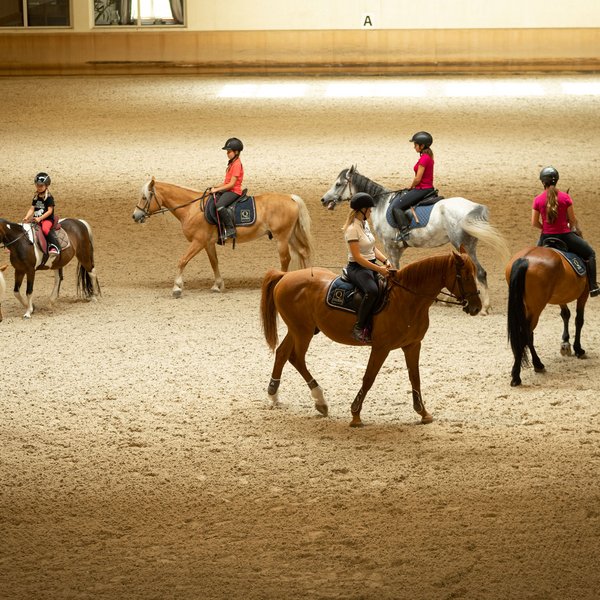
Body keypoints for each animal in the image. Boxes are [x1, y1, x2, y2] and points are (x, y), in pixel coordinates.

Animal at [132, 178, 314, 296]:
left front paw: (177, 287)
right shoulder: (208, 243)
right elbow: (214, 263)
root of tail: (291, 198)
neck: (192, 208)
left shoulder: (198, 242)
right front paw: (218, 285)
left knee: (285, 259)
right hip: (290, 236)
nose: (135, 216)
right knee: (303, 252)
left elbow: (182, 260)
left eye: (144, 197)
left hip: (281, 238)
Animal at [260, 248, 480, 426]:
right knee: (296, 358)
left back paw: (274, 395)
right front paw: (355, 415)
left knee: (282, 354)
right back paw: (320, 400)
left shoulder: (413, 345)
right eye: (466, 276)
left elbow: (415, 378)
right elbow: (369, 378)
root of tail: (285, 276)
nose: (476, 307)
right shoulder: (381, 347)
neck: (406, 299)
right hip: (302, 331)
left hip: (298, 329)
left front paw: (423, 413)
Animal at [322, 164, 508, 314]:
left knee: (480, 272)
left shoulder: (391, 247)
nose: (324, 200)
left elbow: (394, 270)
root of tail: (472, 207)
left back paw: (484, 307)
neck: (380, 205)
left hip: (463, 244)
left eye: (338, 184)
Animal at [504, 246, 588, 386]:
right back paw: (519, 375)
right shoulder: (584, 294)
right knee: (525, 335)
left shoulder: (561, 297)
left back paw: (535, 365)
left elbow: (565, 315)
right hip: (536, 308)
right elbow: (579, 320)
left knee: (527, 335)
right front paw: (578, 349)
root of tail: (524, 259)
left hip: (525, 307)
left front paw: (566, 342)